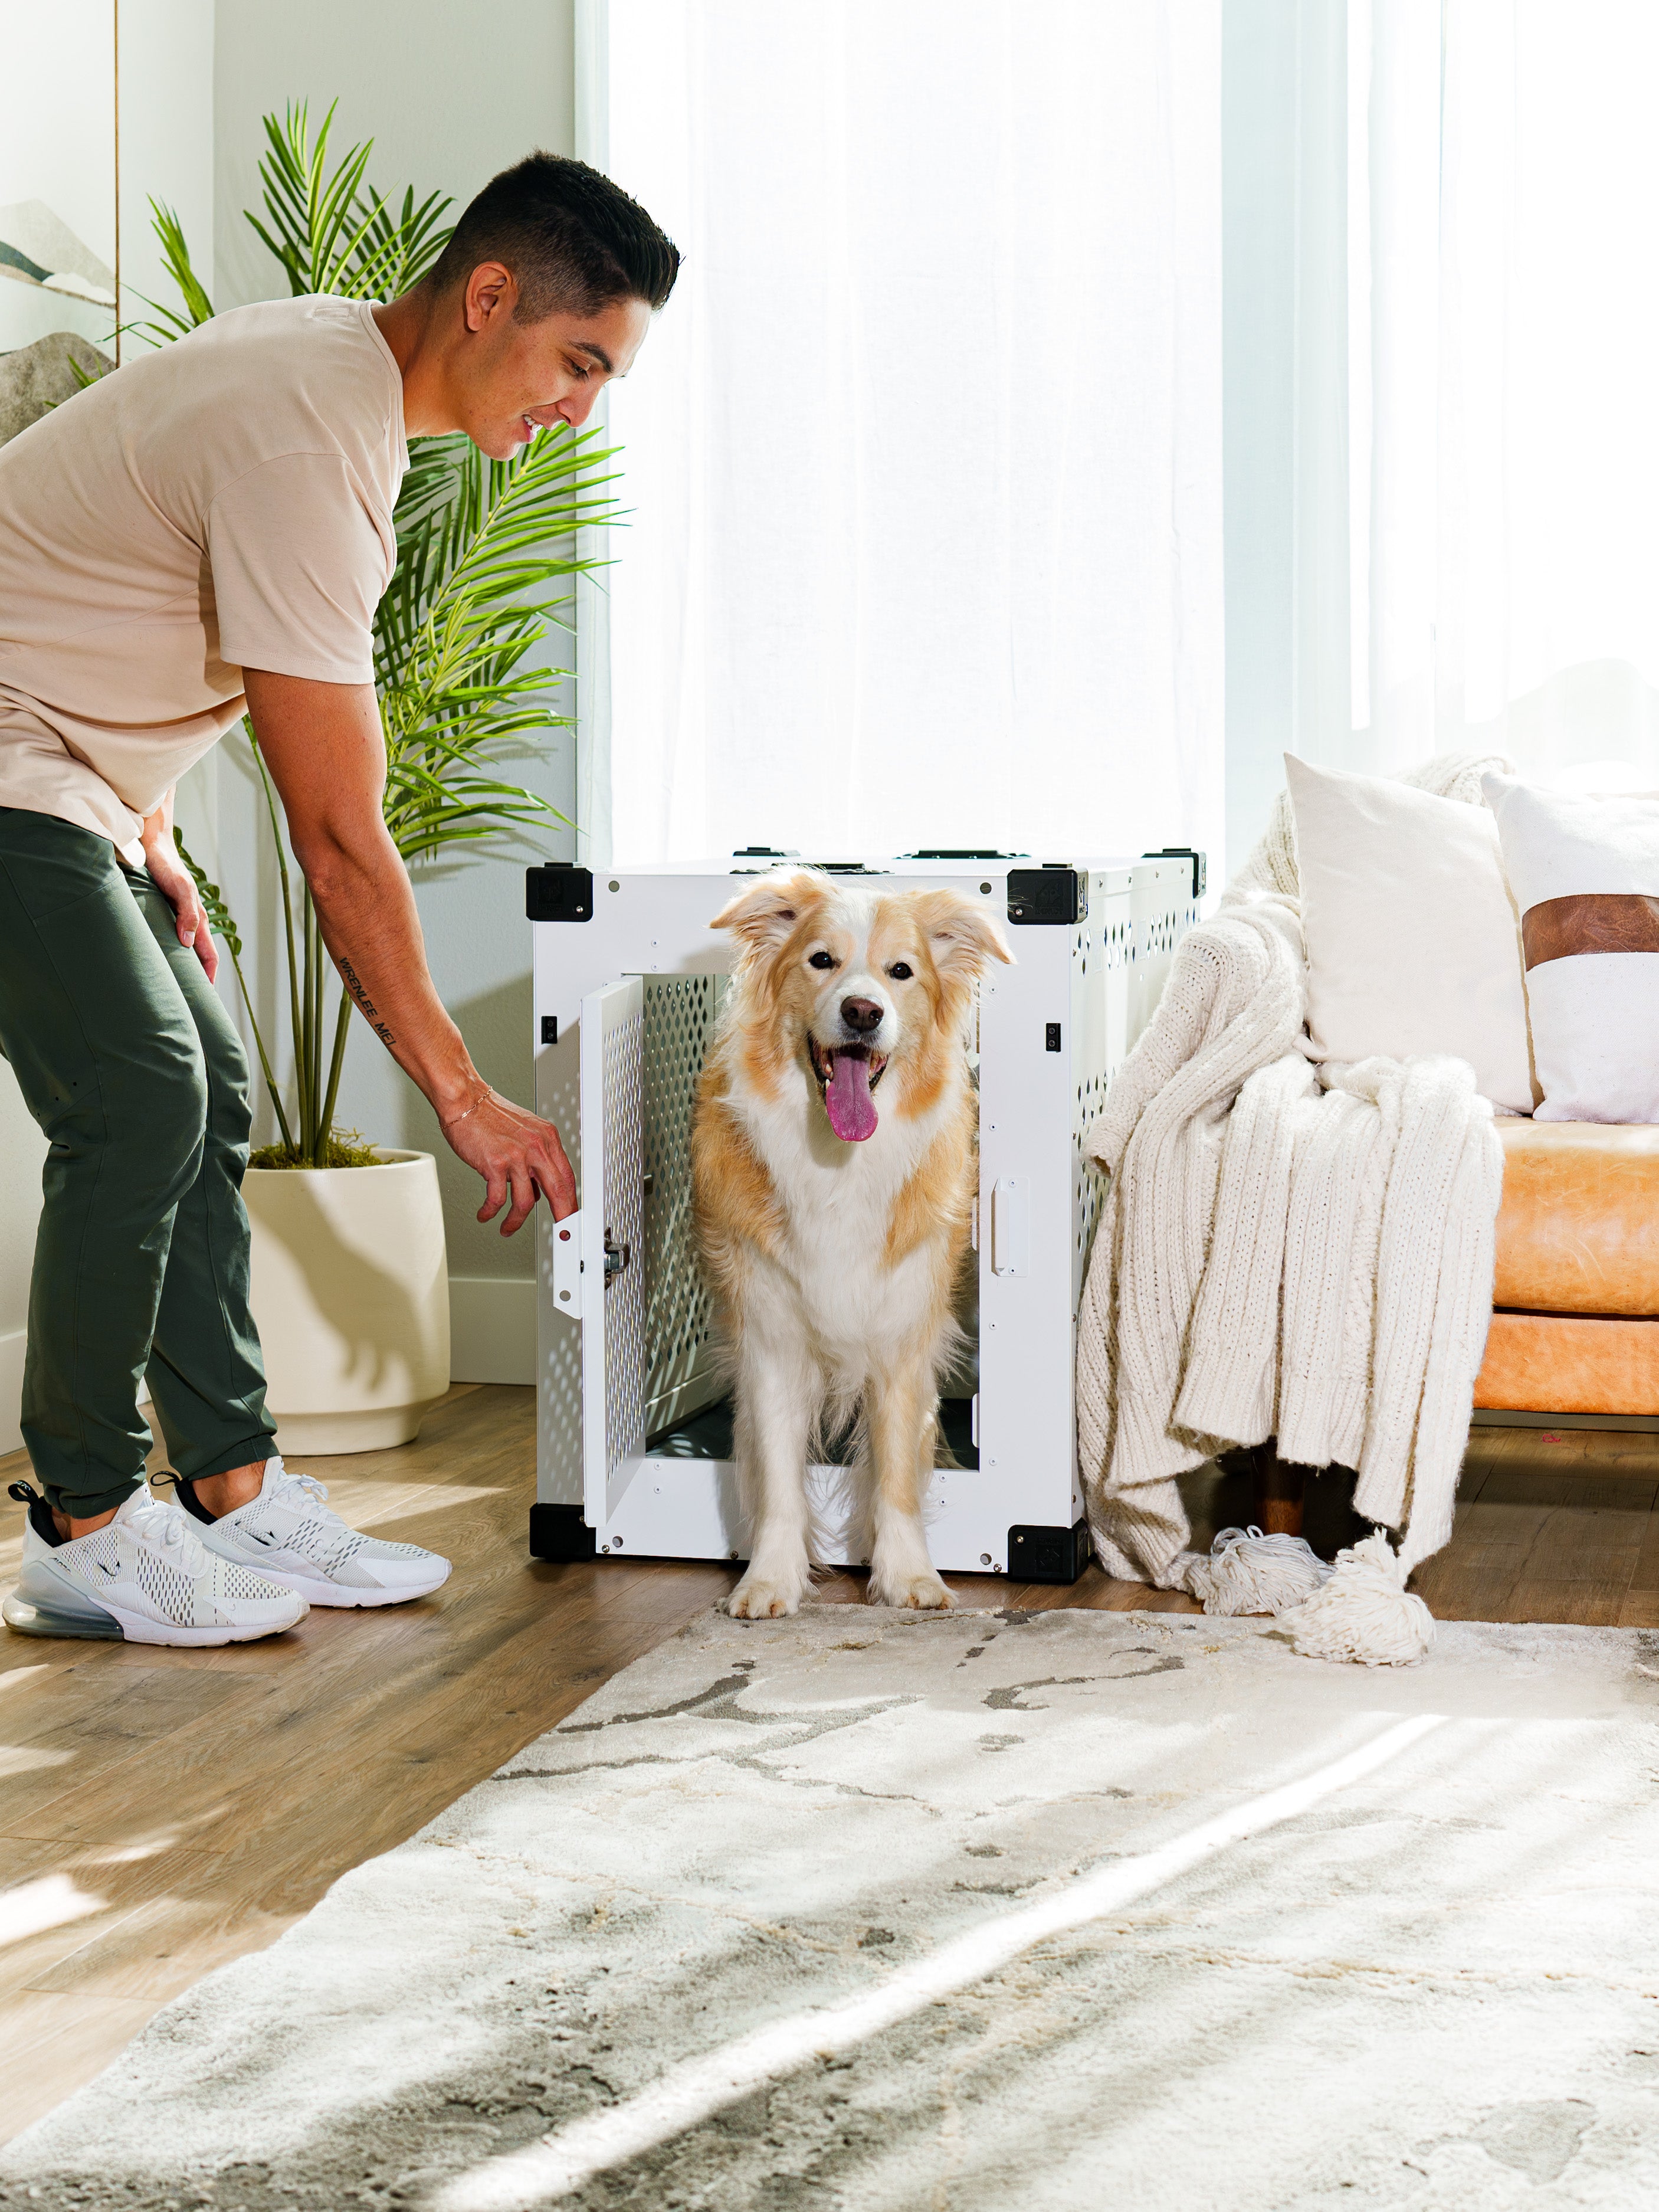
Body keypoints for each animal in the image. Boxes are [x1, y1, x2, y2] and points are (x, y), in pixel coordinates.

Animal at [690, 871, 1013, 1619]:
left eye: (902, 971)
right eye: (821, 960)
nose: (863, 1012)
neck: (838, 1160)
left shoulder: (902, 1336)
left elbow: (895, 1468)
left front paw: (908, 1577)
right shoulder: (771, 1337)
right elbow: (778, 1473)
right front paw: (770, 1580)